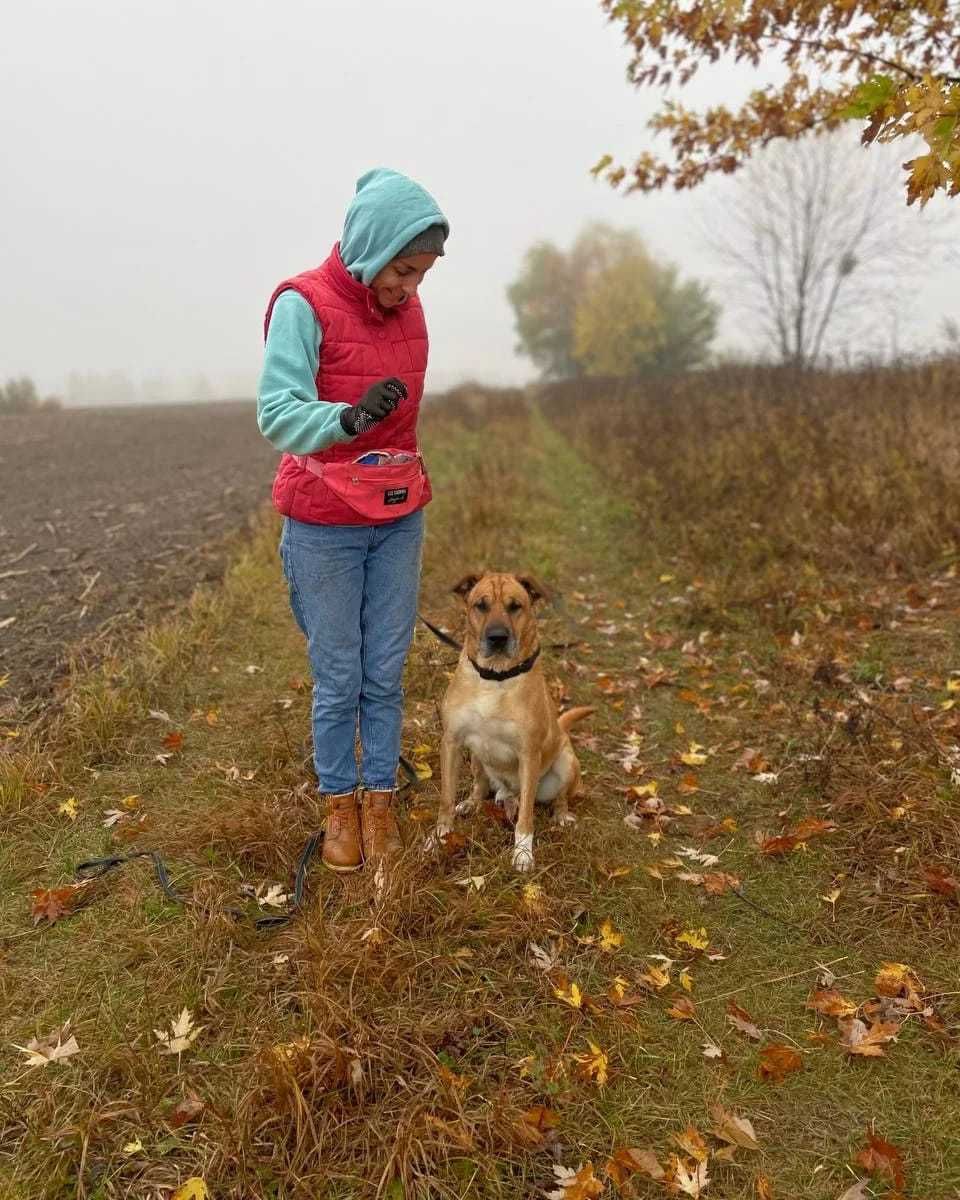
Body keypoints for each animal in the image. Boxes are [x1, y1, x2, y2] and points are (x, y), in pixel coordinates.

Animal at [432, 571, 592, 873]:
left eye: (515, 606)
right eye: (480, 605)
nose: (497, 638)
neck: (495, 678)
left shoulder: (528, 754)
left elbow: (526, 815)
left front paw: (523, 853)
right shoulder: (452, 742)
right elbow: (446, 798)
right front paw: (439, 837)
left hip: (566, 762)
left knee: (558, 797)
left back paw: (561, 815)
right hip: (477, 758)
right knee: (482, 785)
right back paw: (473, 803)